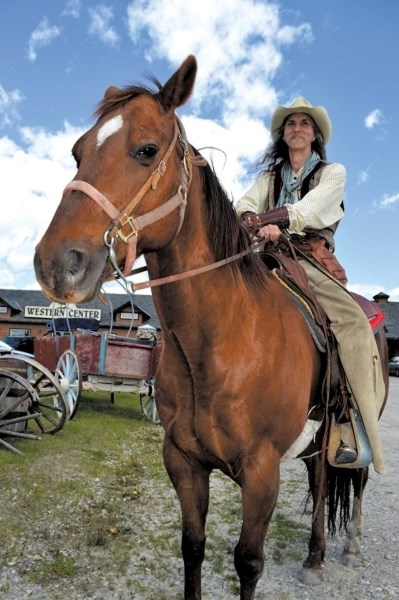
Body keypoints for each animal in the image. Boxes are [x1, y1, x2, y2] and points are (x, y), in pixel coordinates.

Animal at [33, 56, 388, 600]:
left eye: (146, 150)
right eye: (77, 152)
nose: (57, 264)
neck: (221, 342)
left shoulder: (261, 475)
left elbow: (248, 562)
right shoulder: (183, 463)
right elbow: (193, 550)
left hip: (357, 425)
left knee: (352, 481)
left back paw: (347, 546)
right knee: (321, 479)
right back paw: (314, 556)